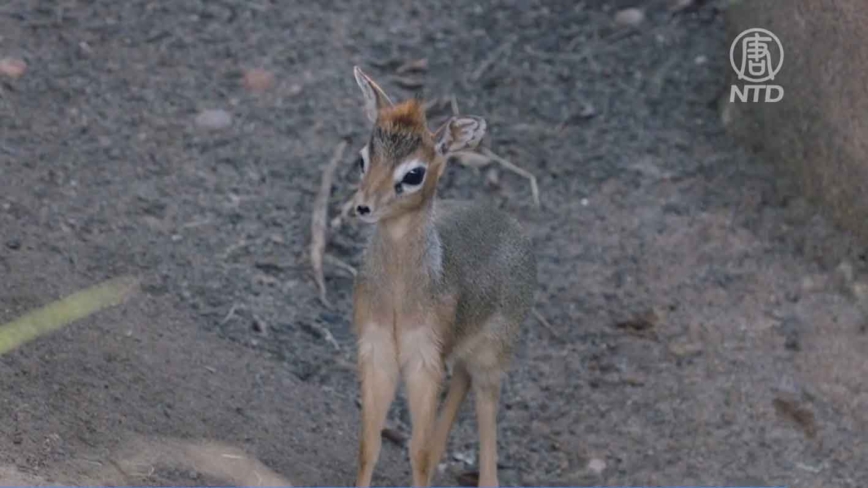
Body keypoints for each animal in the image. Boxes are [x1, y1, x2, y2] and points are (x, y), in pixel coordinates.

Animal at [350, 66, 532, 488]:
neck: (399, 295)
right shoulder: (377, 351)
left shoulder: (423, 361)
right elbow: (369, 445)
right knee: (460, 383)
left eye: (414, 173)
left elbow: (416, 452)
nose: (363, 206)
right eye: (363, 158)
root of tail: (513, 226)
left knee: (484, 412)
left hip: (492, 358)